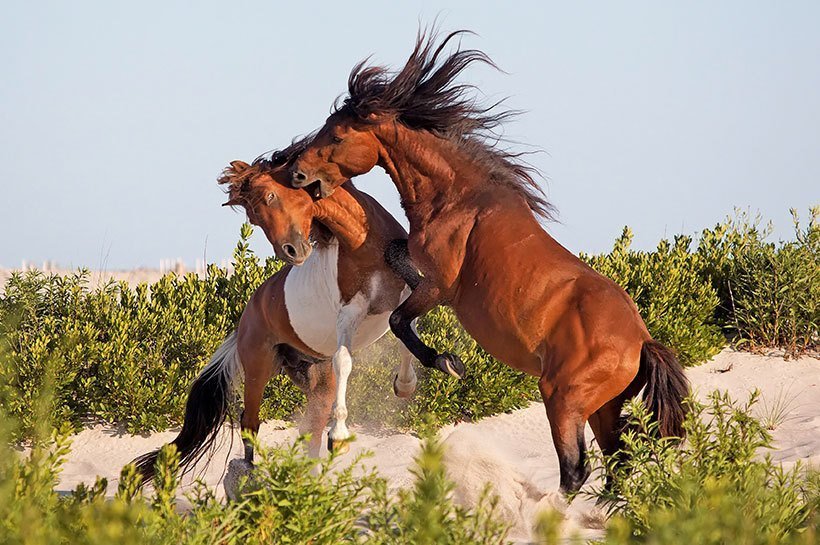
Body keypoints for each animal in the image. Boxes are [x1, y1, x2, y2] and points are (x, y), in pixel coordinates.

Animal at [134, 152, 454, 480]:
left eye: (271, 196)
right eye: (254, 217)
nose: (291, 252)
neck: (364, 242)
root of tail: (245, 319)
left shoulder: (404, 296)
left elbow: (405, 335)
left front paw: (410, 383)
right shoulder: (349, 314)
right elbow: (346, 360)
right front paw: (340, 437)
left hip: (314, 380)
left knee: (310, 430)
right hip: (258, 368)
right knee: (250, 423)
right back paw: (251, 474)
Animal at [292, 31, 688, 496]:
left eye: (336, 136)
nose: (297, 174)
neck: (459, 196)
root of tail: (642, 341)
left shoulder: (442, 286)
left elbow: (399, 320)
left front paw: (443, 366)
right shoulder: (420, 267)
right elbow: (395, 265)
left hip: (563, 398)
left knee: (576, 470)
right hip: (602, 408)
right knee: (616, 463)